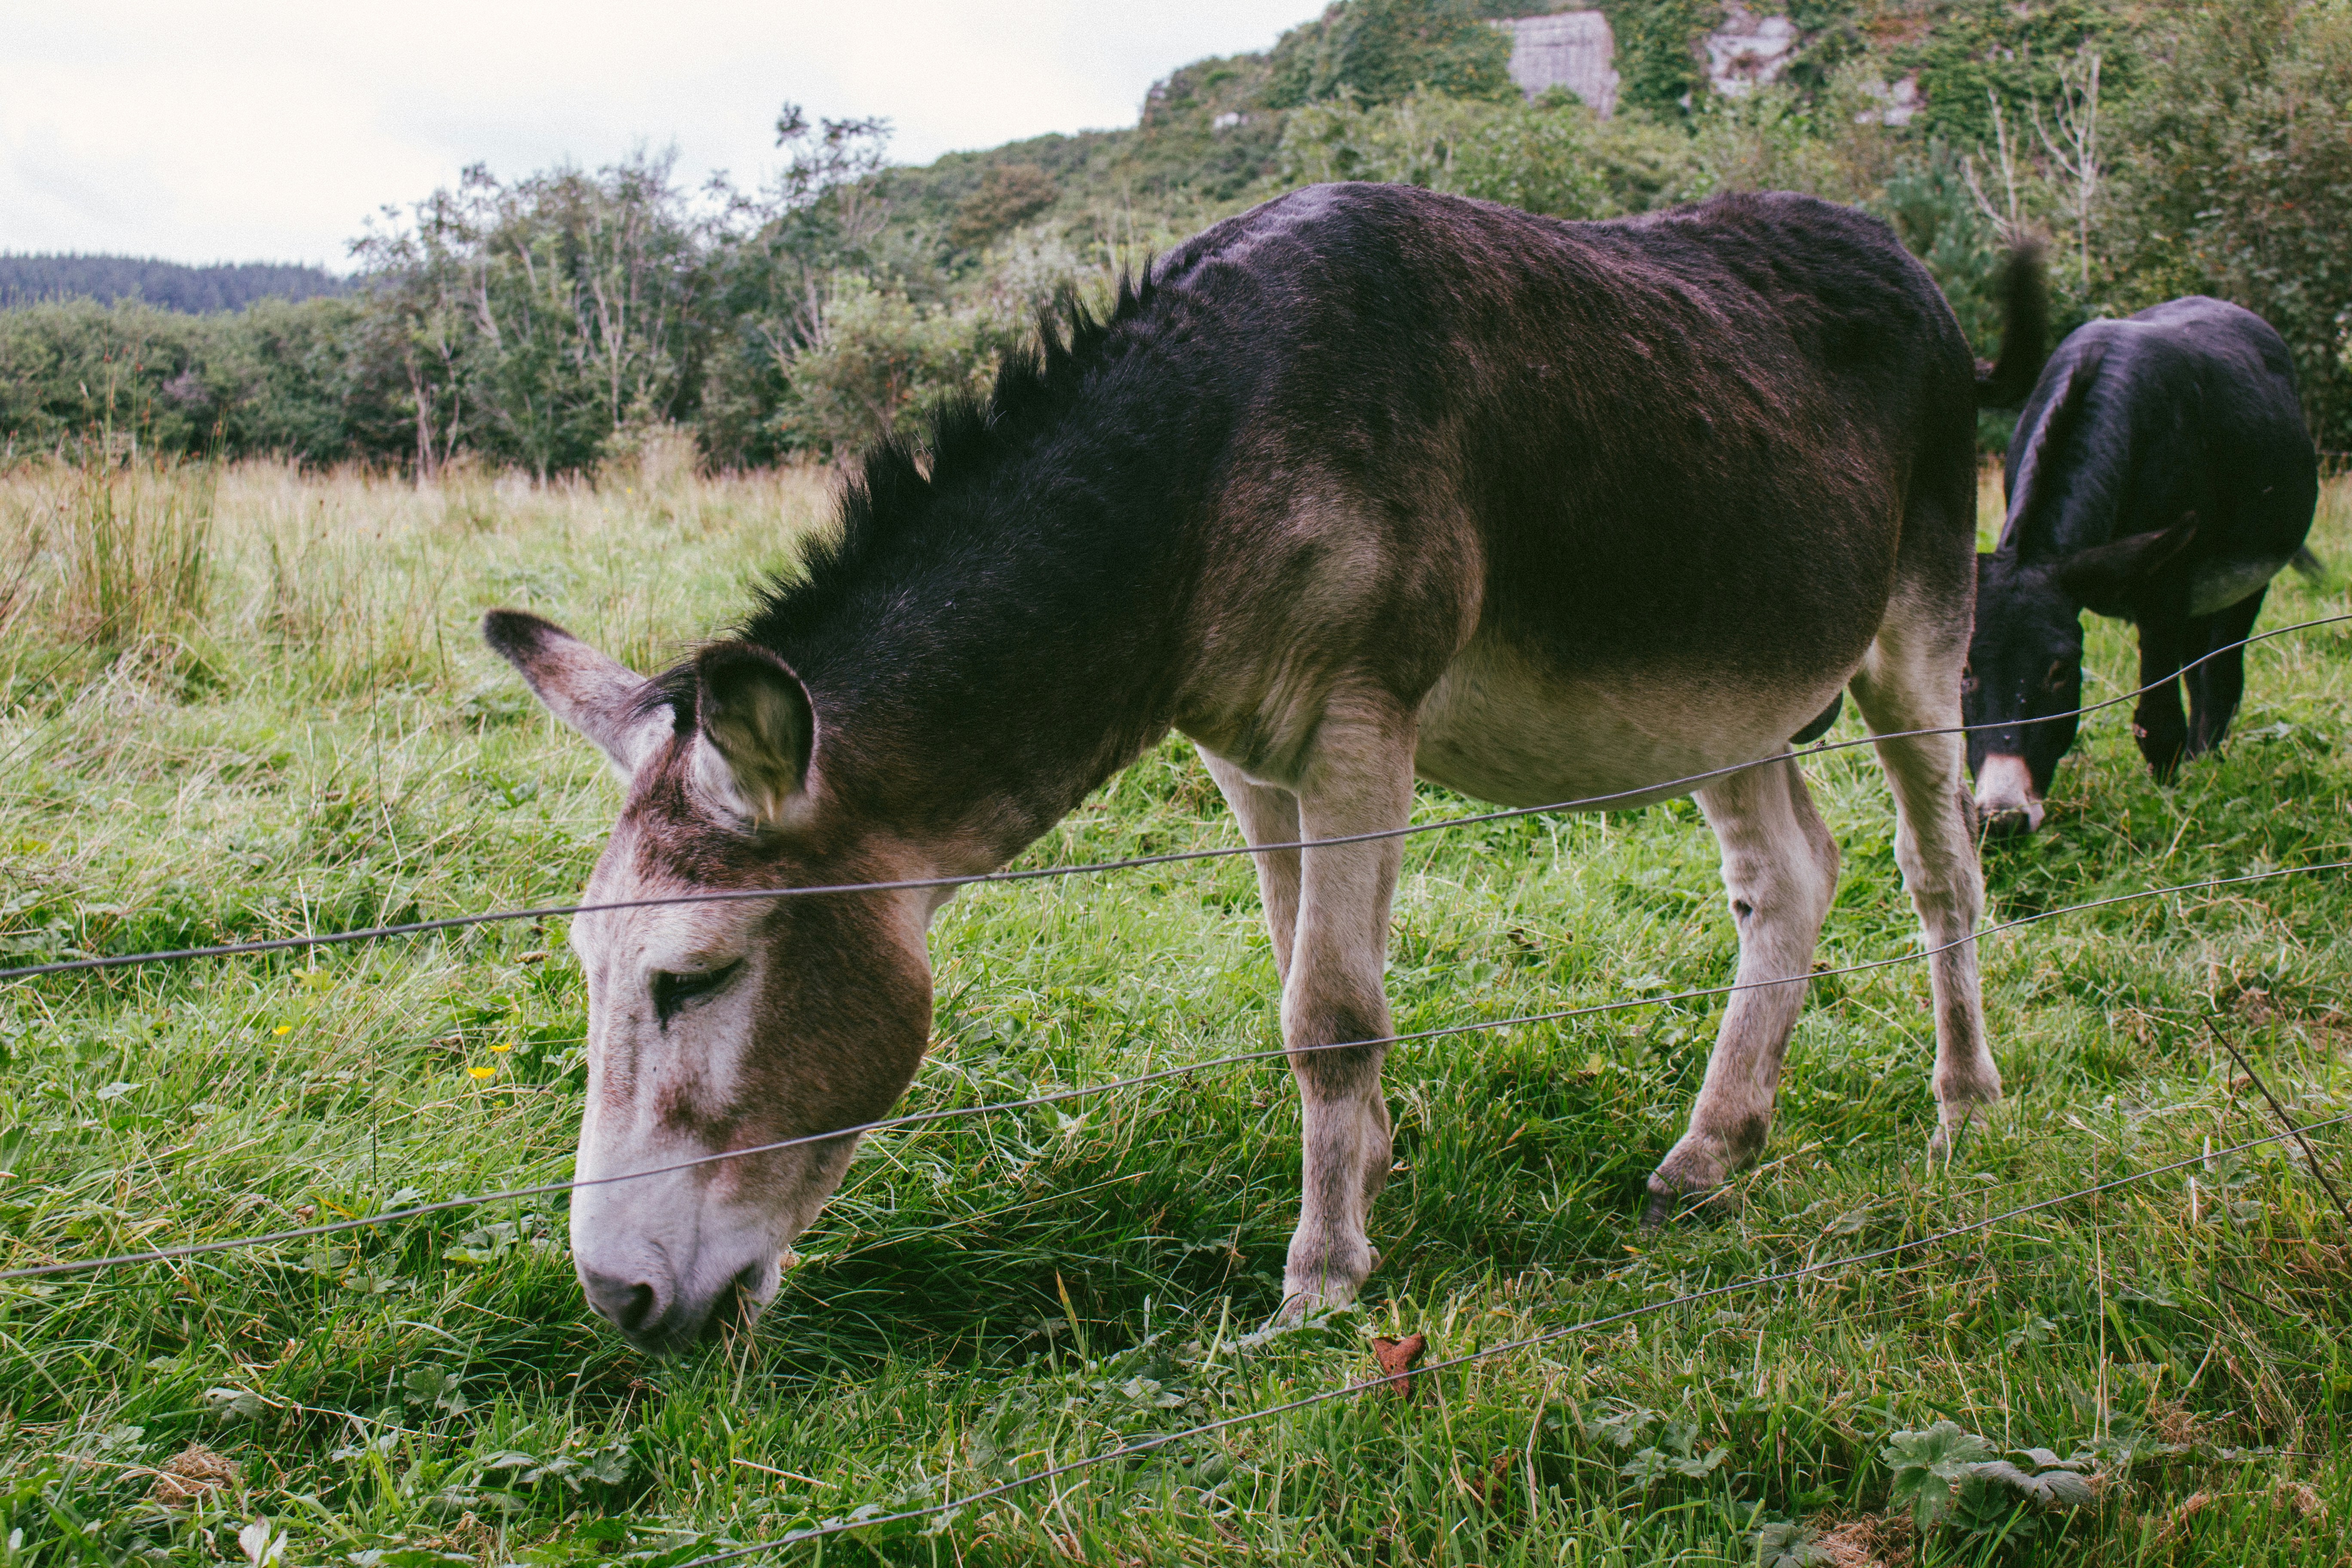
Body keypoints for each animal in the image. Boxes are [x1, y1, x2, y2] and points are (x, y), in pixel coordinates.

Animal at [485, 183, 2042, 1351]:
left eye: (696, 979)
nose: (615, 1301)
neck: (1208, 455)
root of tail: (1918, 279)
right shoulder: (1244, 753)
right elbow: (1296, 967)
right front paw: (1369, 1170)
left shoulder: (1361, 725)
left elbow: (1330, 1012)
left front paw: (1320, 1281)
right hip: (1726, 689)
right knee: (1791, 876)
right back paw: (1712, 1155)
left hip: (1916, 632)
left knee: (1936, 865)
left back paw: (1968, 1108)